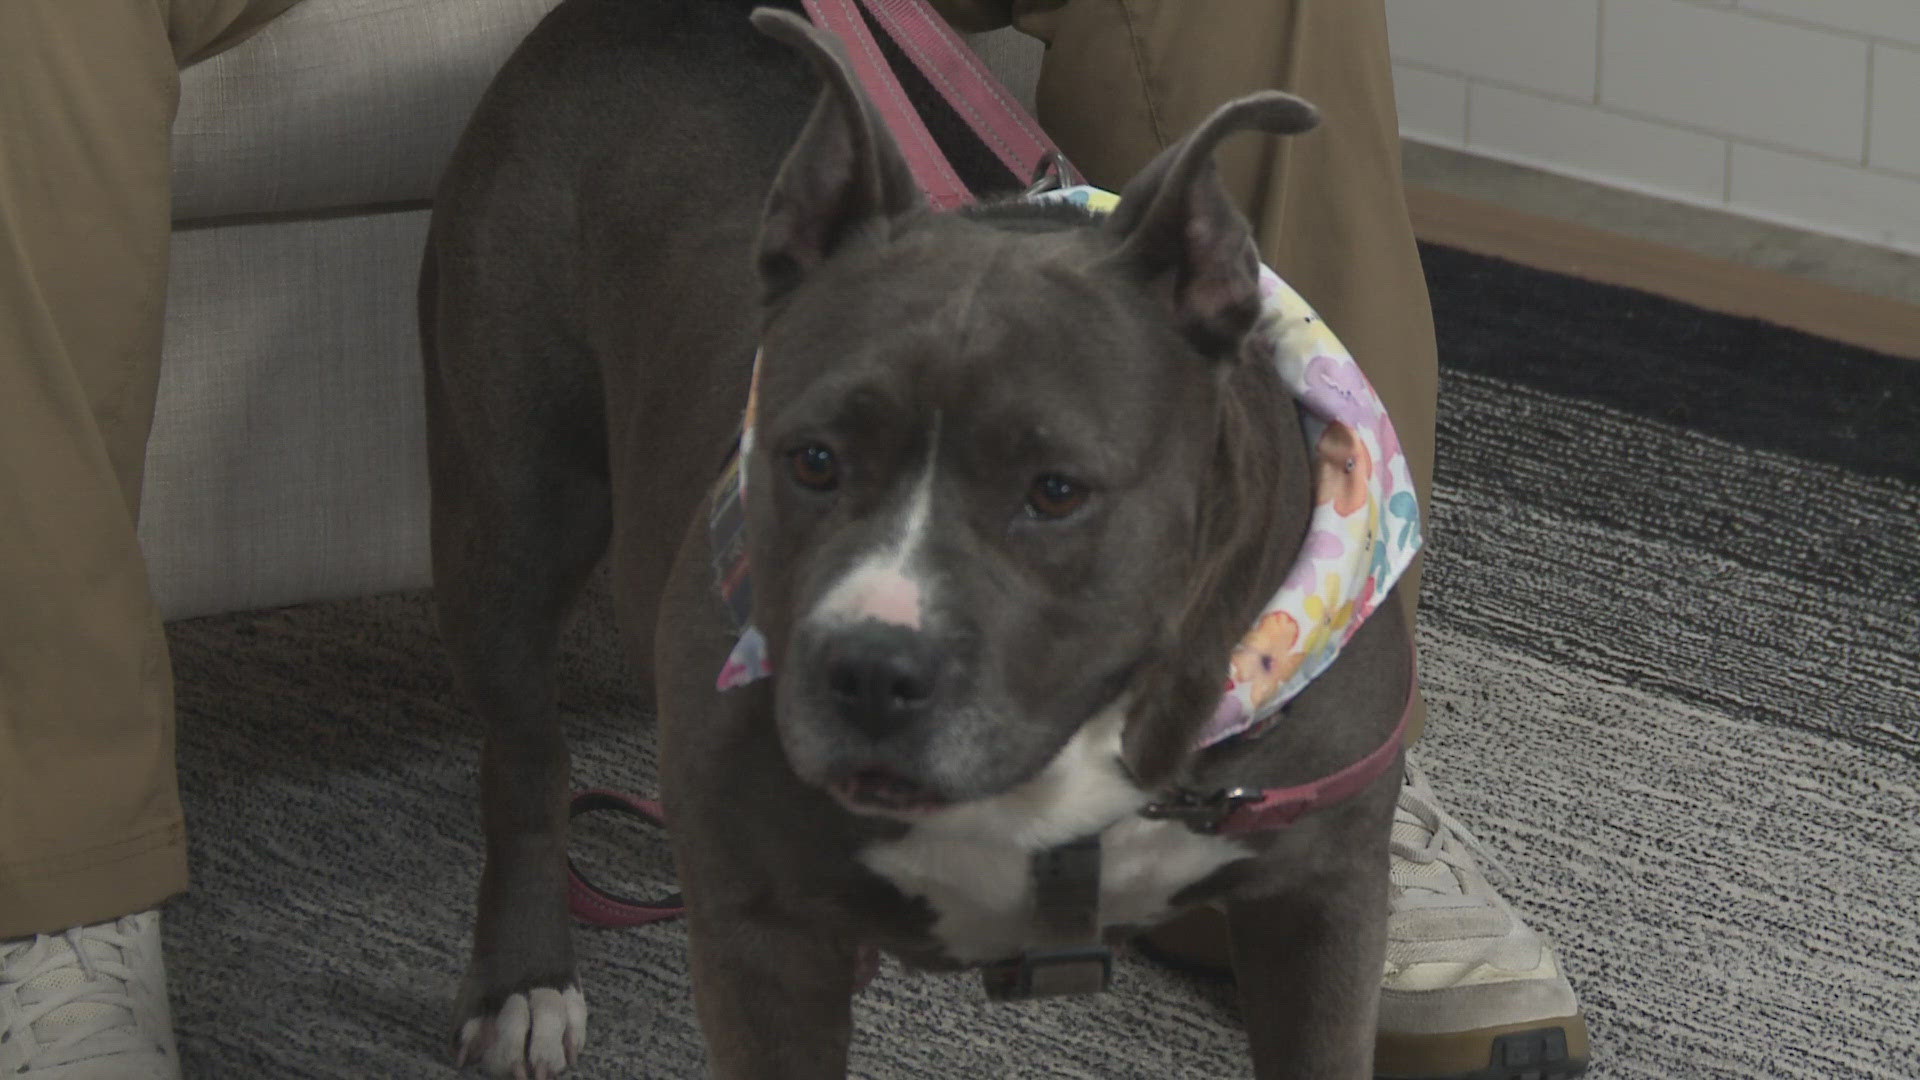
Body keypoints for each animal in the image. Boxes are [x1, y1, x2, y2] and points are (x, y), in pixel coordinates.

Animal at [420, 4, 1413, 1068]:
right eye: (813, 460)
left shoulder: (1321, 897)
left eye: (1056, 491)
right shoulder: (760, 932)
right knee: (526, 754)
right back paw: (524, 983)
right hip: (508, 513)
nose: (869, 671)